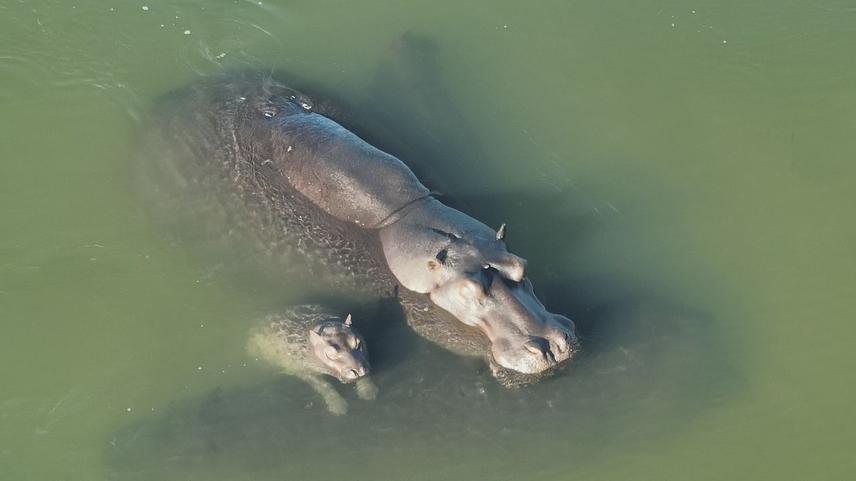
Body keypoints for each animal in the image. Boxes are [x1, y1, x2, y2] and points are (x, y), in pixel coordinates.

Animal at [248, 305, 377, 415]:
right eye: (330, 354)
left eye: (358, 343)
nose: (358, 370)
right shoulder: (303, 370)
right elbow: (324, 385)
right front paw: (339, 408)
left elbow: (365, 376)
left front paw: (369, 393)